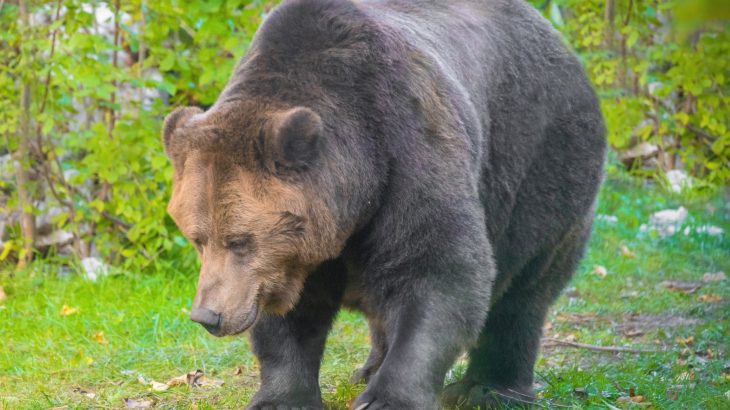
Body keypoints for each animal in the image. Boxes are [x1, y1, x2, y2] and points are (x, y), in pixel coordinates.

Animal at [162, 0, 606, 409]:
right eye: (198, 238)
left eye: (239, 240)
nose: (207, 315)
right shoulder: (296, 256)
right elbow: (290, 313)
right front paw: (282, 396)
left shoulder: (407, 147)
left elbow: (439, 270)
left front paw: (388, 397)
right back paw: (370, 367)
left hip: (540, 161)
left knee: (524, 288)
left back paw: (490, 387)